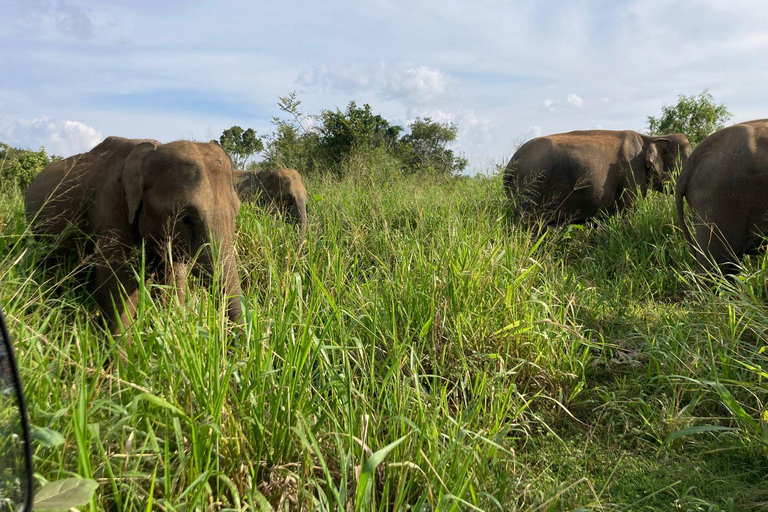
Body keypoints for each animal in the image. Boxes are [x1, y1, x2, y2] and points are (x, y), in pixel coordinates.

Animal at [25, 136, 243, 335]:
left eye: (236, 212)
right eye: (185, 218)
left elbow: (172, 281)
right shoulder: (110, 207)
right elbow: (118, 284)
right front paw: (119, 349)